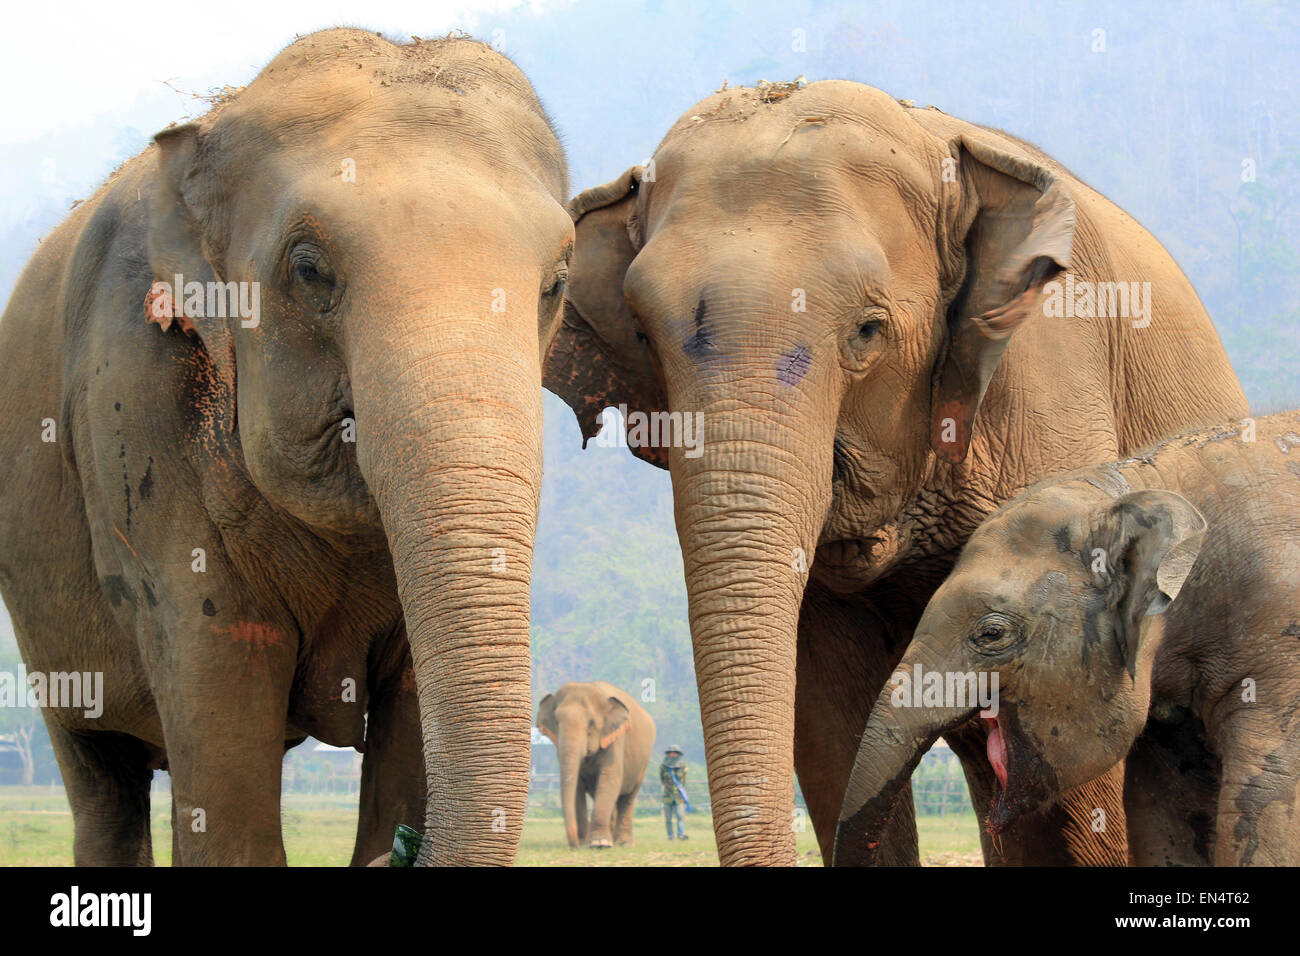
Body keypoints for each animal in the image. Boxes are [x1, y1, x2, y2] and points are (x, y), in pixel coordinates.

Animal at [0, 29, 573, 865]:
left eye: (557, 281)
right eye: (308, 270)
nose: (403, 852)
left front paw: (387, 831)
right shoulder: (135, 404)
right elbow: (230, 790)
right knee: (101, 775)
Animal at [536, 682, 656, 847]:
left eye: (591, 723)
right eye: (557, 722)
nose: (574, 846)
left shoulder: (616, 741)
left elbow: (610, 779)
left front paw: (600, 844)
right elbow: (577, 786)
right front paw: (585, 844)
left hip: (642, 764)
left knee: (627, 798)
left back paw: (623, 843)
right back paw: (612, 840)